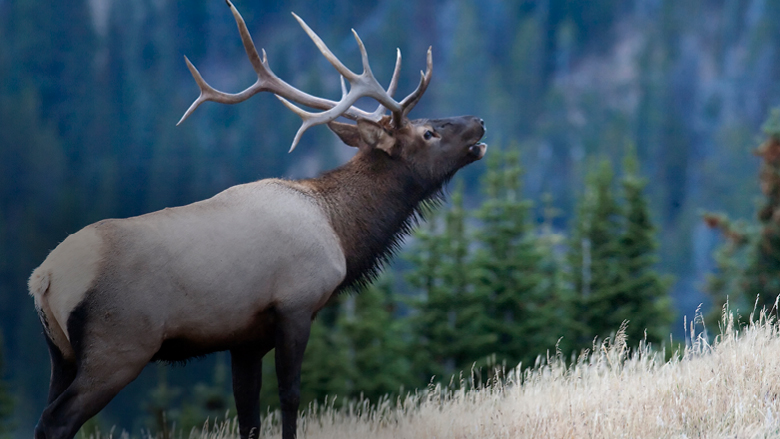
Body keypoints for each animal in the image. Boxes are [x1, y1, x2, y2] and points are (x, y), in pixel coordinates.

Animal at [30, 0, 488, 439]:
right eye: (428, 133)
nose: (479, 121)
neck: (340, 232)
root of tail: (44, 279)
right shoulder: (296, 305)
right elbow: (289, 396)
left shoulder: (244, 339)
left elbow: (247, 415)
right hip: (118, 345)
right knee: (57, 420)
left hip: (60, 352)